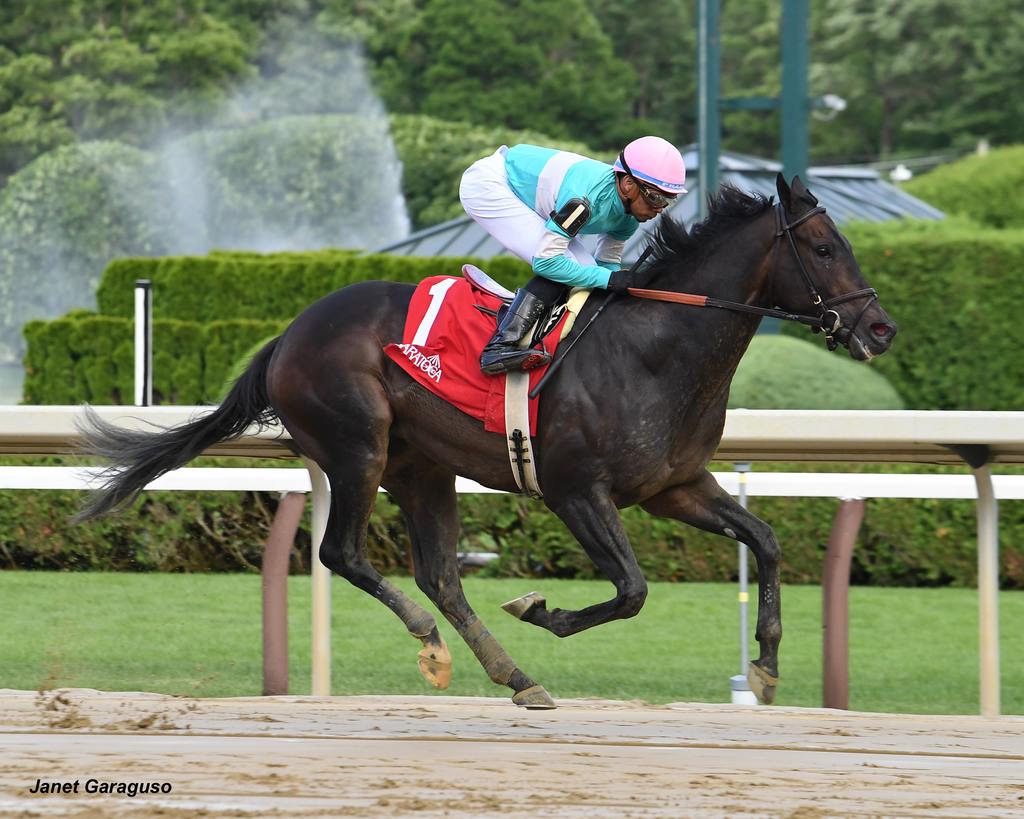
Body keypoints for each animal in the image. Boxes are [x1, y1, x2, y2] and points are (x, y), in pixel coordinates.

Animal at [77, 177, 897, 708]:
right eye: (824, 247)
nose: (881, 328)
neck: (655, 348)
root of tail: (288, 334)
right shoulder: (575, 490)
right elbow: (632, 590)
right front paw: (541, 609)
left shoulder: (675, 487)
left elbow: (765, 541)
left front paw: (765, 665)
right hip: (358, 446)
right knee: (344, 553)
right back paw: (435, 644)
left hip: (421, 466)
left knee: (441, 574)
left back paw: (517, 678)